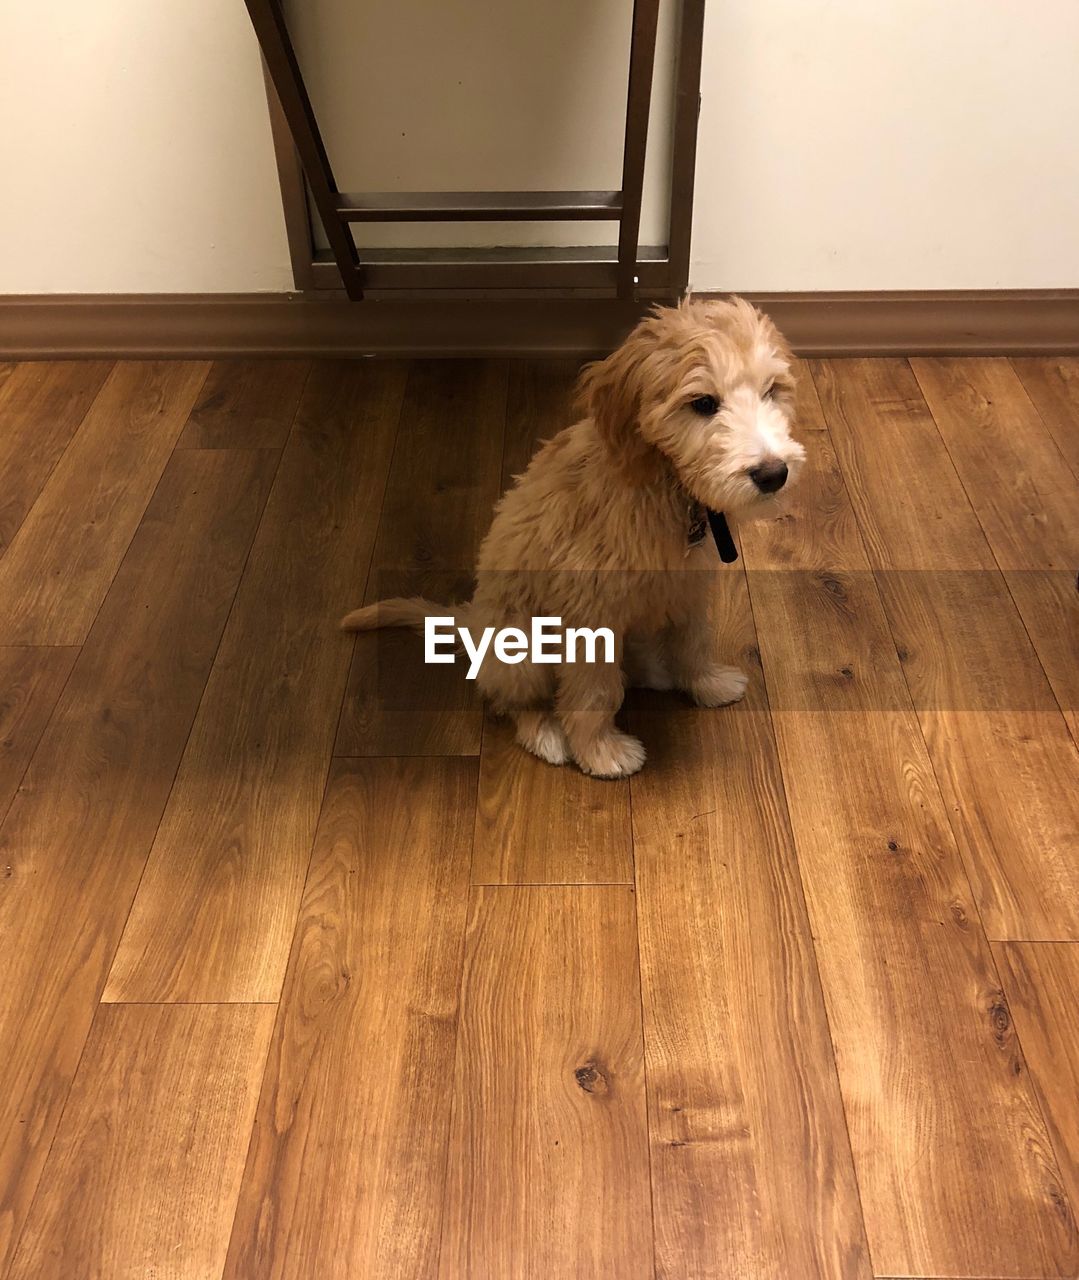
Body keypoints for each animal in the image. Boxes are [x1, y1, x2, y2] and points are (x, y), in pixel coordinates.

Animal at [343, 296, 803, 778]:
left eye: (771, 390)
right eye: (703, 403)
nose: (773, 474)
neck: (665, 487)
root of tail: (473, 624)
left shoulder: (687, 587)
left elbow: (692, 640)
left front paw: (707, 683)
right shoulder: (590, 612)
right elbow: (594, 692)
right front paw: (601, 752)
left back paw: (654, 669)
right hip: (520, 649)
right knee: (513, 702)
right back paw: (545, 732)